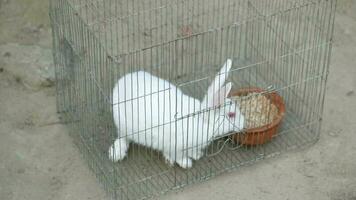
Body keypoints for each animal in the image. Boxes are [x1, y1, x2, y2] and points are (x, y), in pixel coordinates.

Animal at [109, 58, 245, 168]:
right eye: (231, 115)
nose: (244, 124)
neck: (202, 119)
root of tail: (121, 82)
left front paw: (196, 155)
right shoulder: (175, 146)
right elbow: (177, 156)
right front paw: (186, 163)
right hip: (124, 125)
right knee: (122, 137)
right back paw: (116, 154)